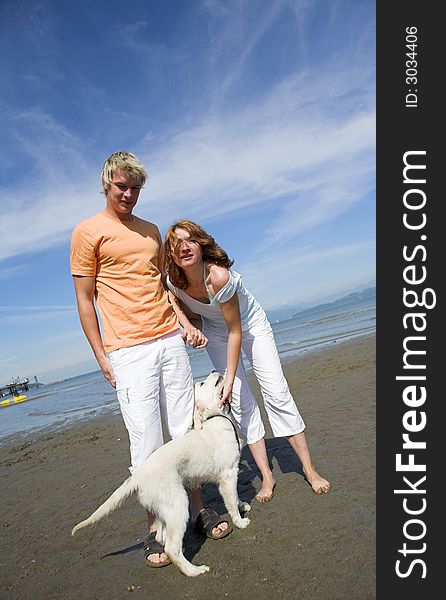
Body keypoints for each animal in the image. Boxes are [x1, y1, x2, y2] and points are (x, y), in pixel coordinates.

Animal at [71, 370, 249, 576]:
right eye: (203, 383)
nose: (213, 371)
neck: (215, 418)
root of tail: (138, 475)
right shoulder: (228, 475)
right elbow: (231, 502)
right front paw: (240, 521)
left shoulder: (232, 474)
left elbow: (236, 497)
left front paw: (243, 505)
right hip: (178, 504)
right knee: (171, 548)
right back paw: (194, 570)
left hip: (164, 509)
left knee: (160, 537)